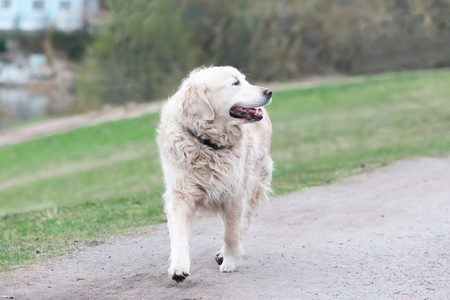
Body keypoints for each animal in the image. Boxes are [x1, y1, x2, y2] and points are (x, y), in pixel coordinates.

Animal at [156, 65, 272, 284]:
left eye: (244, 80)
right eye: (235, 83)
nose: (268, 92)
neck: (207, 144)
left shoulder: (234, 192)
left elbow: (231, 233)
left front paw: (231, 261)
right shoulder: (180, 195)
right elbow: (178, 235)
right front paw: (178, 268)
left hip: (253, 180)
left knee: (242, 222)